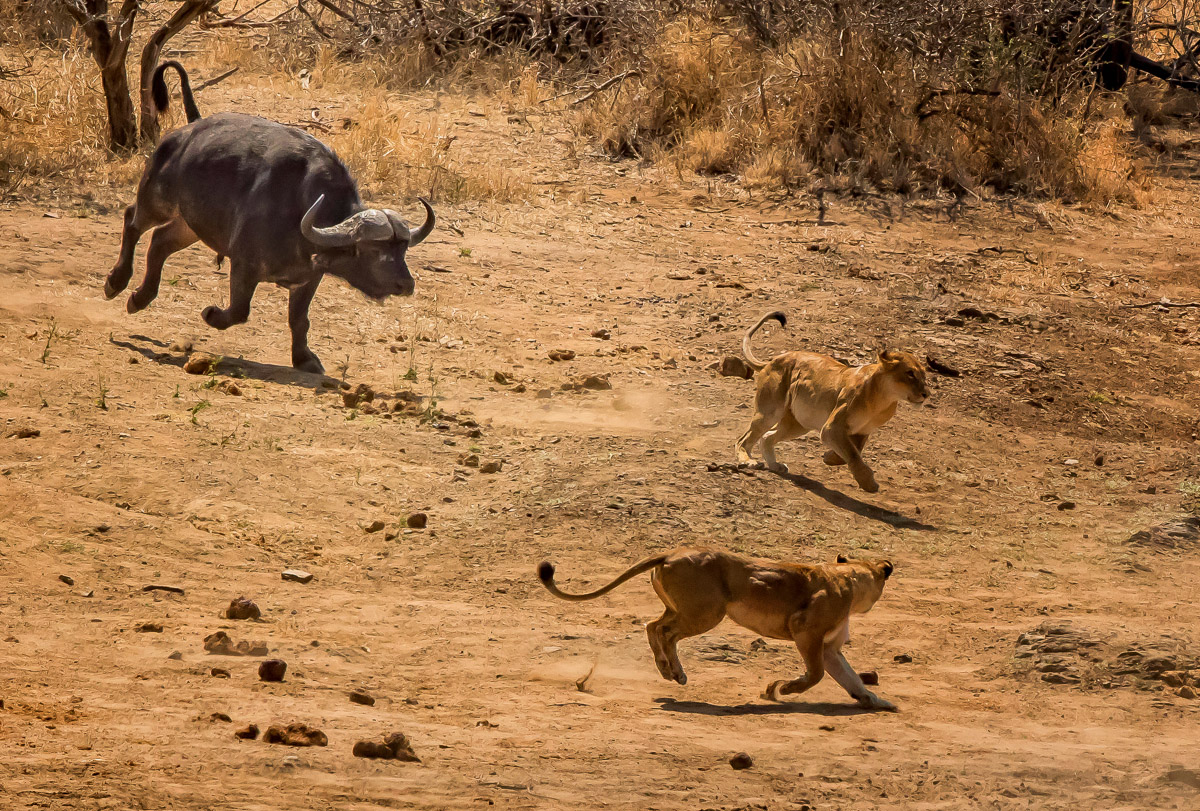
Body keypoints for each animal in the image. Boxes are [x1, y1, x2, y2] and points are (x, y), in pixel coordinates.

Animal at [104, 61, 434, 374]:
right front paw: (211, 314)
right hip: (156, 198)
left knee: (159, 241)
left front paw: (304, 359)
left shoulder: (308, 279)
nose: (406, 285)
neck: (301, 214)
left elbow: (299, 321)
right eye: (375, 251)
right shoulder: (244, 265)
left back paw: (139, 298)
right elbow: (239, 311)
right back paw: (116, 282)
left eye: (402, 250)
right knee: (133, 221)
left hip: (190, 224)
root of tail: (189, 129)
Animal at [537, 548, 897, 711]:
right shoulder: (805, 631)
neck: (850, 577)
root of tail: (671, 552)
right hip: (708, 613)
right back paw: (673, 672)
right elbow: (817, 674)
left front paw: (875, 700)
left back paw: (670, 672)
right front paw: (779, 689)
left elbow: (850, 677)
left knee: (652, 625)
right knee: (663, 631)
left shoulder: (829, 646)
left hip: (685, 609)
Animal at [734, 310, 929, 492]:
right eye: (910, 373)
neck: (883, 400)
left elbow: (855, 450)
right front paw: (868, 483)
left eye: (923, 375)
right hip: (769, 412)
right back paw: (748, 461)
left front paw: (830, 457)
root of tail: (772, 360)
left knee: (767, 437)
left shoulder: (862, 430)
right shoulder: (831, 428)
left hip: (798, 424)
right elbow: (853, 454)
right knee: (743, 439)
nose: (926, 394)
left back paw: (775, 466)